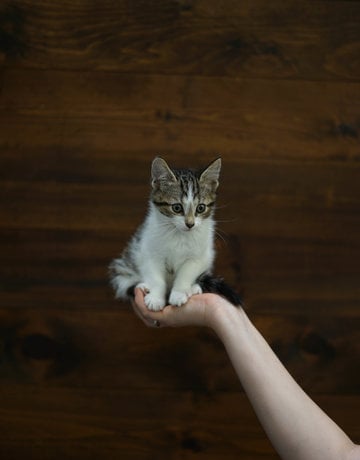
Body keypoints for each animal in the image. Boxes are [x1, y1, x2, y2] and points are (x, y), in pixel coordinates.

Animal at [108, 156, 240, 310]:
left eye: (200, 208)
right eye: (176, 208)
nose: (190, 224)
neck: (178, 234)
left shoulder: (200, 256)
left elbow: (186, 274)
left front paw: (179, 293)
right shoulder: (148, 250)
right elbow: (155, 276)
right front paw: (156, 298)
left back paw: (194, 288)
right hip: (125, 265)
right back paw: (142, 286)